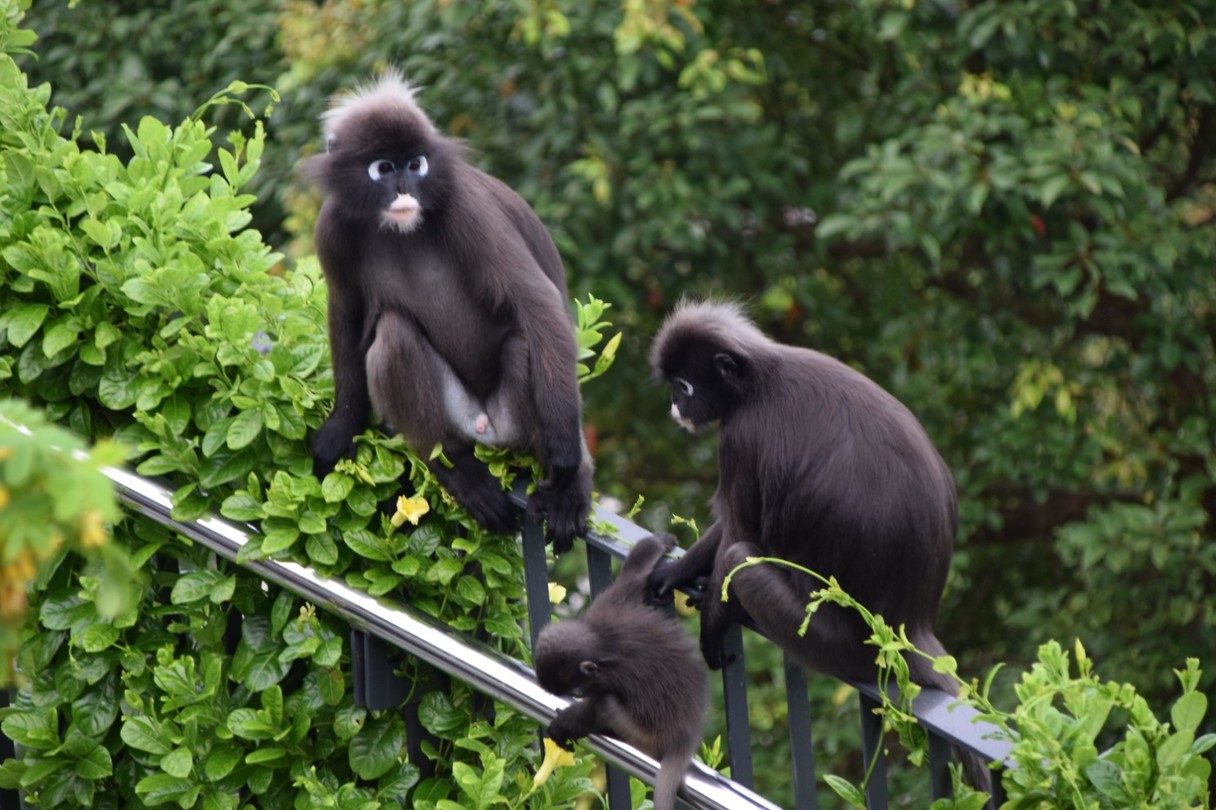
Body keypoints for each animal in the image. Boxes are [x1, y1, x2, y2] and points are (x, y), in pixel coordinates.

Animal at [302, 71, 592, 552]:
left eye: (416, 164)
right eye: (384, 168)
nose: (405, 187)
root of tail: (485, 427)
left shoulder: (467, 205)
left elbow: (536, 302)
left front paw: (567, 463)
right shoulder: (332, 225)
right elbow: (345, 310)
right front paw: (343, 425)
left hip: (513, 420)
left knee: (523, 339)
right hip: (455, 416)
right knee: (394, 333)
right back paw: (458, 468)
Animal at [534, 533, 708, 810]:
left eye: (577, 690)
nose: (579, 692)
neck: (600, 641)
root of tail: (685, 736)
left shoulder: (610, 675)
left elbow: (594, 706)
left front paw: (566, 724)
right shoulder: (610, 606)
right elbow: (634, 573)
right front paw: (660, 542)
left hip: (648, 738)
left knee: (606, 704)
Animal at [645, 300, 993, 792]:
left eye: (683, 386)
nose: (677, 407)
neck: (759, 379)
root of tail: (910, 627)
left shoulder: (741, 434)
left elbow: (738, 532)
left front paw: (709, 633)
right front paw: (673, 571)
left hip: (827, 642)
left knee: (741, 558)